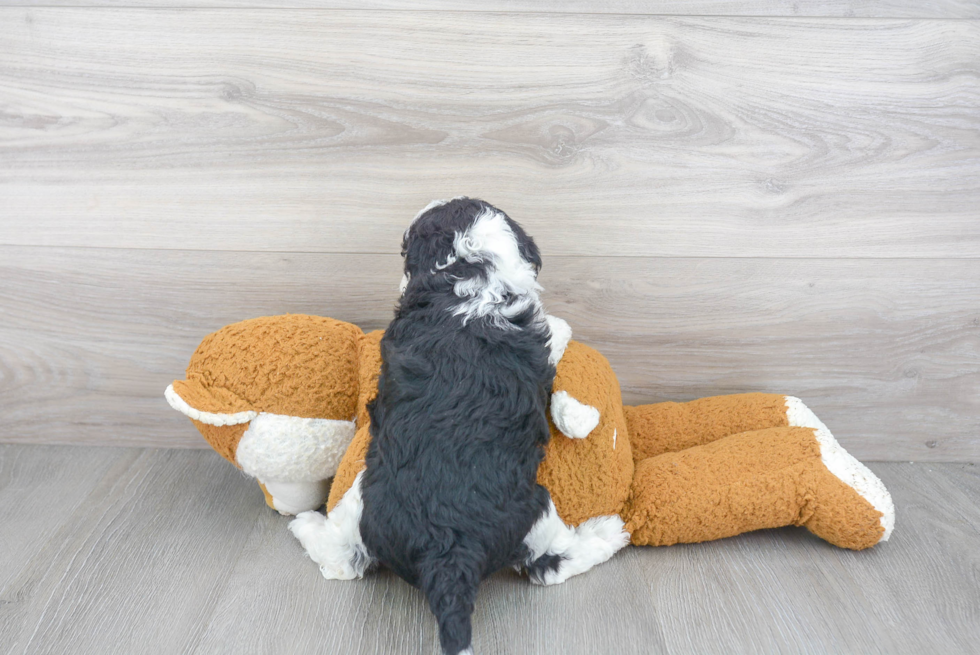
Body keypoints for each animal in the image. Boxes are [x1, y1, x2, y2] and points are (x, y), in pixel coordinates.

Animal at [290, 200, 628, 655]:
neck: (467, 273)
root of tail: (446, 549)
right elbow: (557, 329)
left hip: (361, 505)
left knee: (344, 561)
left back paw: (305, 525)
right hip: (535, 515)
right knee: (553, 564)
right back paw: (607, 532)